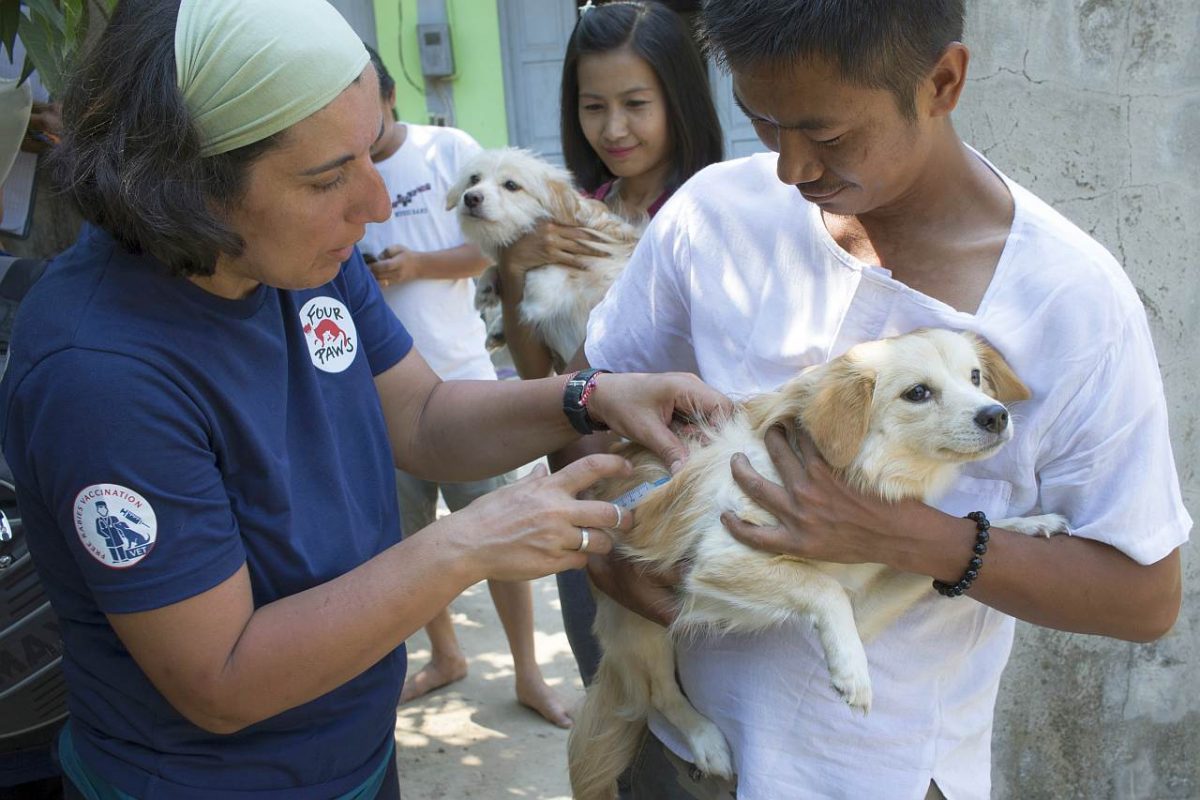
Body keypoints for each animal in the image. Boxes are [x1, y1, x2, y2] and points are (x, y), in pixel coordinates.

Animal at [446, 148, 643, 371]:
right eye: (474, 179)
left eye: (511, 185)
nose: (471, 197)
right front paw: (486, 290)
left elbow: (566, 270)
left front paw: (536, 293)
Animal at [568, 326, 1070, 800]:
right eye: (918, 393)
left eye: (975, 377)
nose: (996, 414)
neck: (866, 472)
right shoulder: (719, 557)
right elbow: (821, 588)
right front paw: (853, 671)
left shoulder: (865, 602)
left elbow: (913, 566)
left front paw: (1026, 523)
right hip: (640, 627)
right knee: (658, 693)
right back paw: (705, 738)